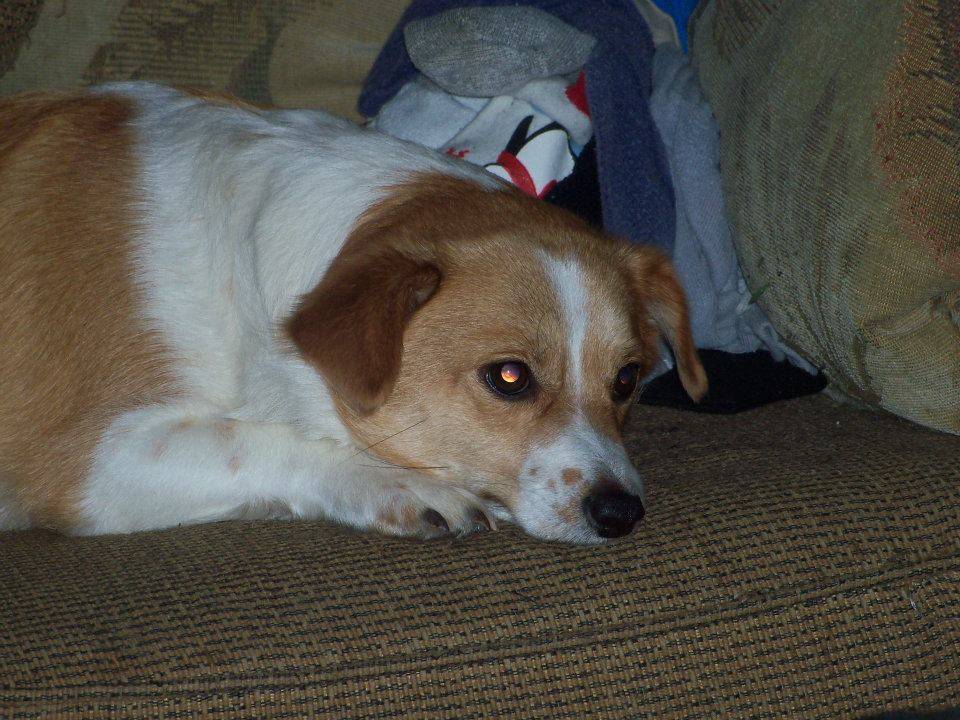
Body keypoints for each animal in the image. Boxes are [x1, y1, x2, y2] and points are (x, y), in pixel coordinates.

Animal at [0, 83, 706, 543]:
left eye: (626, 380)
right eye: (509, 377)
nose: (621, 514)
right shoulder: (90, 462)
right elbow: (248, 438)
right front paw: (397, 485)